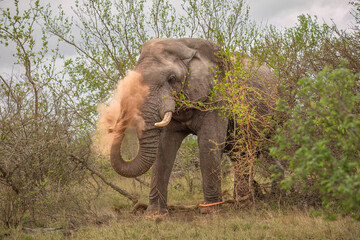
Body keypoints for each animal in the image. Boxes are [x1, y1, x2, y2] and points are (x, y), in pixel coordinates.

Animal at [105, 38, 278, 215]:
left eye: (172, 78)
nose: (113, 127)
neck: (184, 44)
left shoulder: (217, 96)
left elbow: (208, 143)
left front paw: (210, 212)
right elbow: (163, 149)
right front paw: (155, 215)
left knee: (271, 150)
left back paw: (270, 198)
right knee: (239, 155)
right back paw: (241, 202)